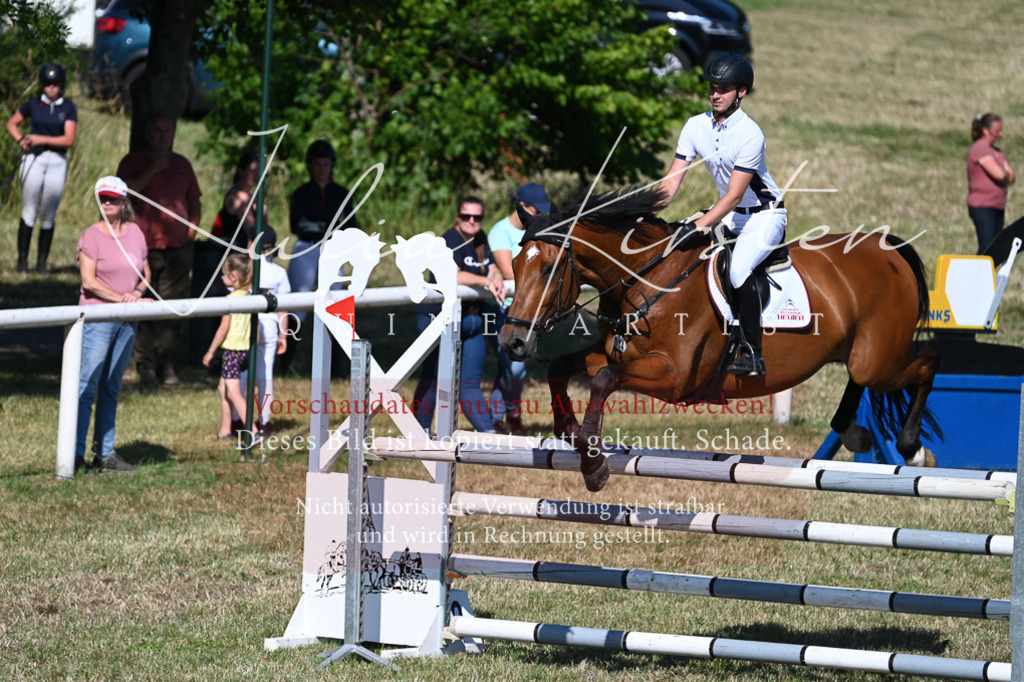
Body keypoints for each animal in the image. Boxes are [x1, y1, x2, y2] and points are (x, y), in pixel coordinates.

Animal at [498, 185, 940, 492]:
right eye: (515, 265)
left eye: (550, 269)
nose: (511, 341)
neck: (650, 278)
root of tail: (887, 249)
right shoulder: (614, 354)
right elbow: (562, 368)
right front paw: (573, 436)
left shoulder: (675, 377)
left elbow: (604, 381)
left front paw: (593, 465)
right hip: (861, 355)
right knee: (862, 378)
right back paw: (852, 431)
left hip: (879, 359)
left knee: (925, 363)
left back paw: (912, 447)